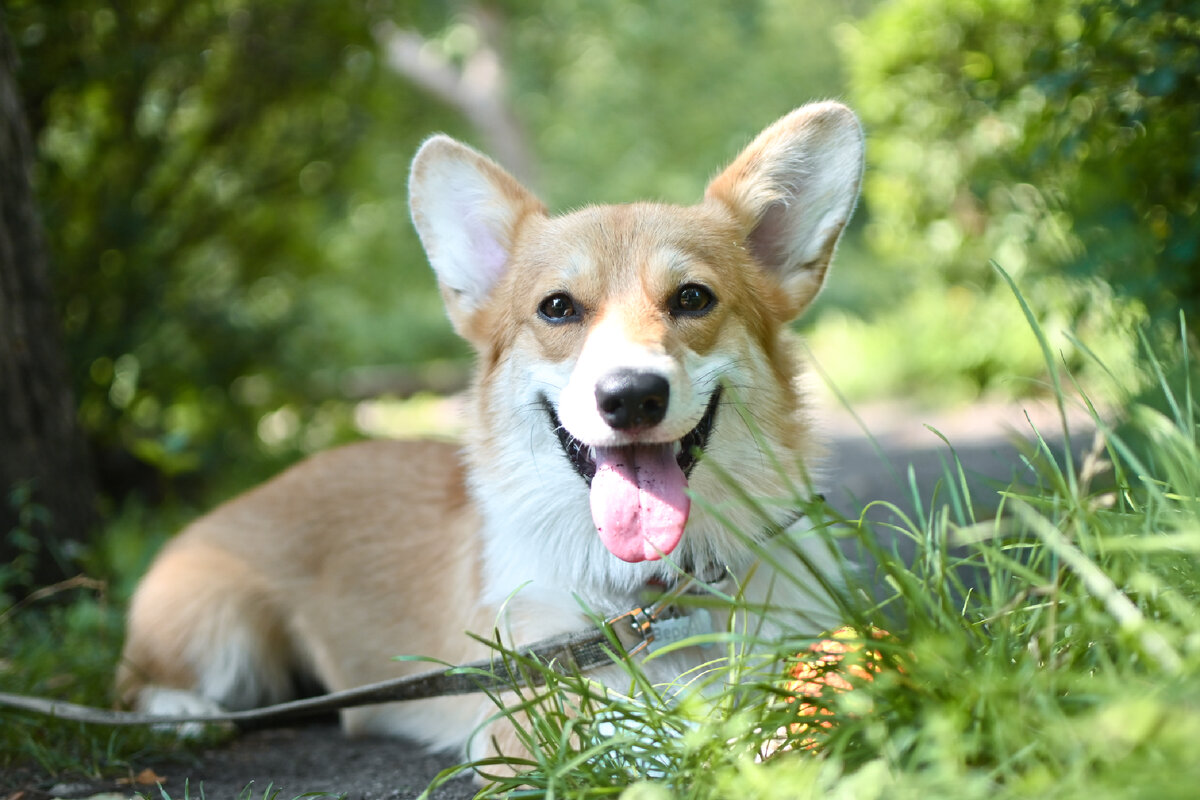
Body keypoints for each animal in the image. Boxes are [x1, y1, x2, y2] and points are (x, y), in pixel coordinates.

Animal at [114, 101, 864, 762]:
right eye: (558, 308)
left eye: (693, 298)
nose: (630, 397)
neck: (655, 594)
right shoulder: (527, 713)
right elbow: (638, 734)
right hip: (219, 625)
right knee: (132, 685)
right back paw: (182, 713)